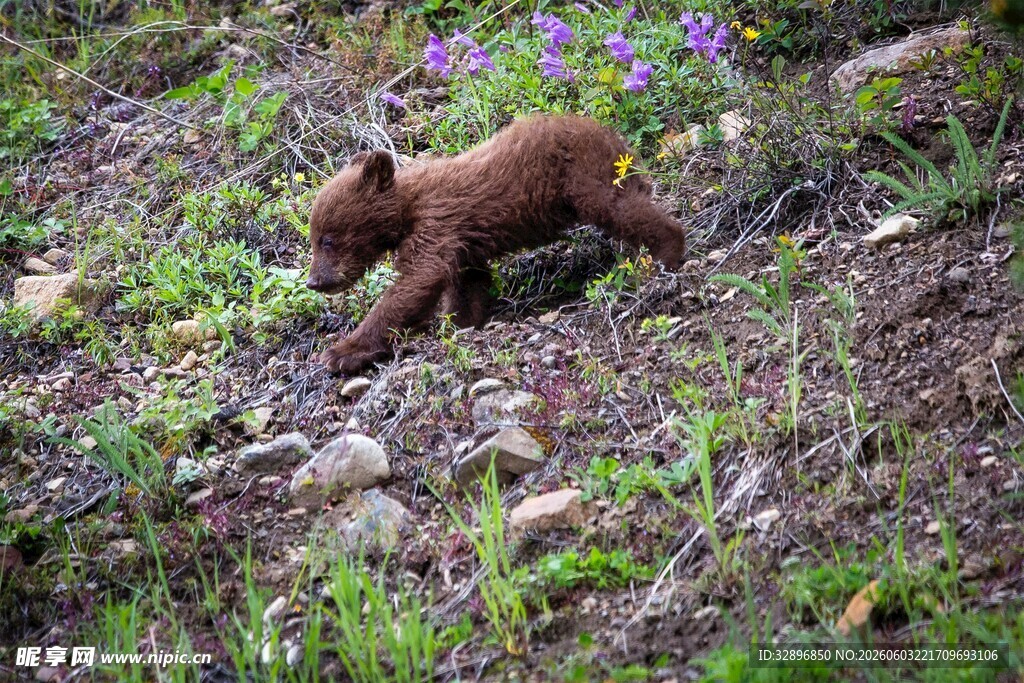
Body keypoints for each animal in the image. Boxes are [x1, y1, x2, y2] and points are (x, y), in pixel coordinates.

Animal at [306, 114, 686, 375]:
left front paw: (342, 352)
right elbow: (466, 281)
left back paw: (667, 255)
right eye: (314, 238)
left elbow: (417, 280)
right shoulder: (461, 241)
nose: (314, 281)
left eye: (327, 239)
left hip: (585, 176)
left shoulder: (437, 221)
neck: (407, 208)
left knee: (621, 208)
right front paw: (462, 321)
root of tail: (616, 139)